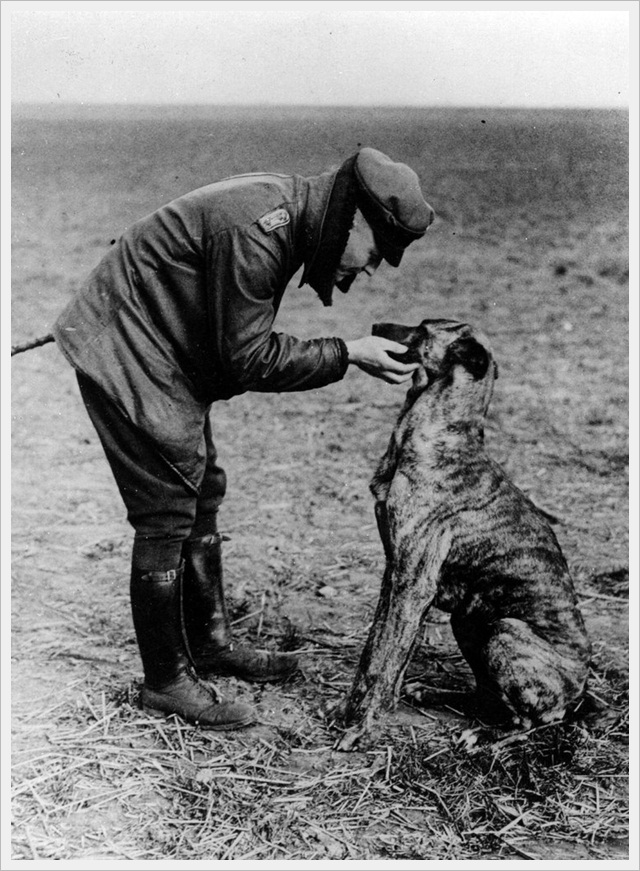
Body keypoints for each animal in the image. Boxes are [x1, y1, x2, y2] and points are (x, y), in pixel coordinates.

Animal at [338, 320, 592, 748]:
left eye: (423, 328)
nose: (375, 326)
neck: (444, 436)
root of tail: (581, 689)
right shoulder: (396, 576)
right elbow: (374, 655)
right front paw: (349, 711)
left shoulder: (413, 586)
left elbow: (384, 664)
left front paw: (362, 727)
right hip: (469, 620)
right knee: (485, 695)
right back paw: (433, 694)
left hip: (503, 631)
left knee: (530, 721)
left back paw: (483, 738)